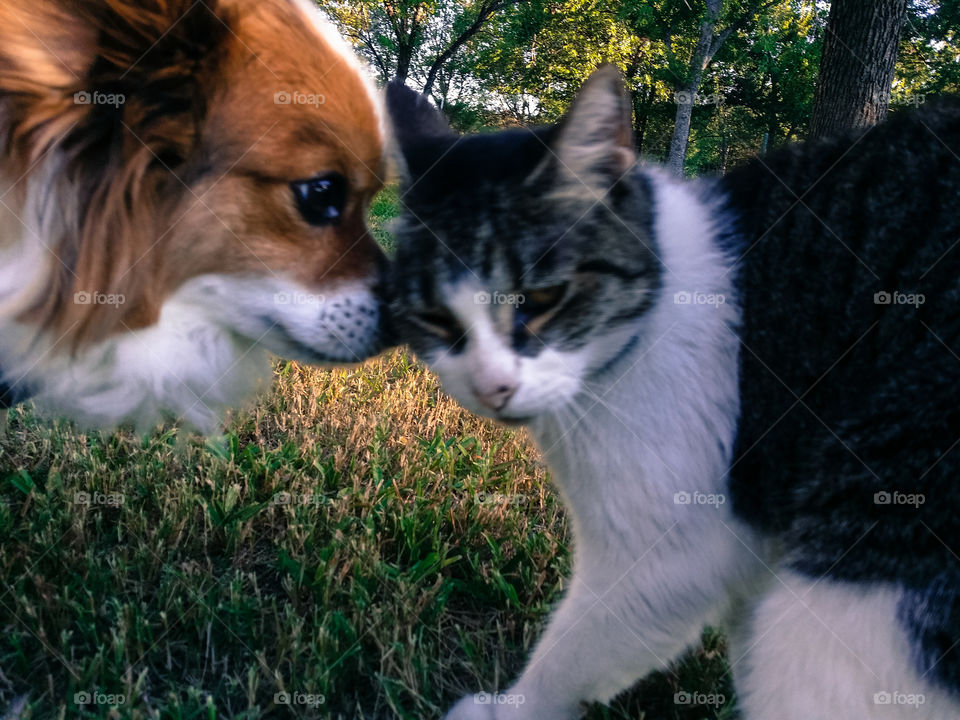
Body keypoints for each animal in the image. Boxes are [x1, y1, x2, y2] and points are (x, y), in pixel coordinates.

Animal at [380, 64, 960, 716]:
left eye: (545, 298)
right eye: (434, 319)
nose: (491, 387)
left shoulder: (666, 554)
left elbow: (574, 652)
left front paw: (506, 710)